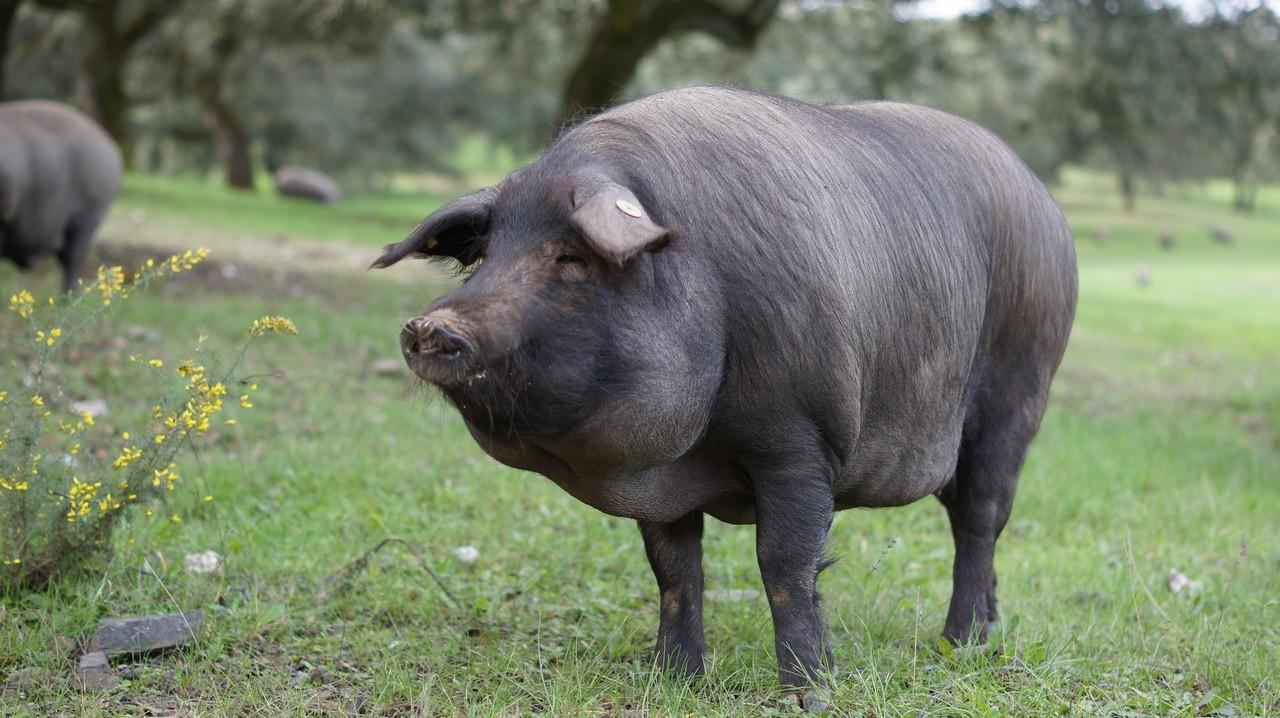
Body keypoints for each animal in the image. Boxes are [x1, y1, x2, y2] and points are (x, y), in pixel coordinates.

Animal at [374, 87, 1077, 709]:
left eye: (571, 257)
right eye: (485, 256)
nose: (429, 326)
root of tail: (1044, 199)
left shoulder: (801, 439)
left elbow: (785, 565)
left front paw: (809, 696)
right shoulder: (659, 475)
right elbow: (675, 570)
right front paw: (673, 680)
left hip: (1018, 394)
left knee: (980, 521)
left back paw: (957, 646)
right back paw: (986, 634)